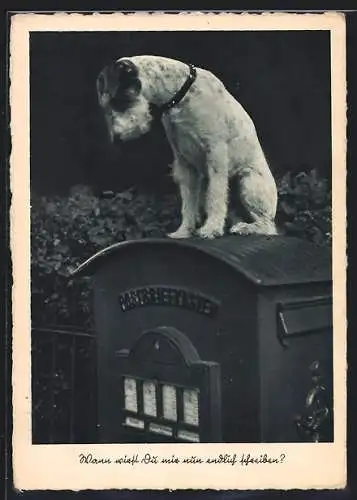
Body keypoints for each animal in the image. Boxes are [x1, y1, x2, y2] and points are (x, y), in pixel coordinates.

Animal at [96, 55, 278, 239]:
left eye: (117, 102)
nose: (116, 139)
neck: (181, 94)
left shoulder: (216, 154)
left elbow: (216, 195)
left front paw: (211, 229)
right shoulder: (184, 163)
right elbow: (188, 203)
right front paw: (184, 231)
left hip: (248, 182)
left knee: (268, 225)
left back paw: (246, 228)